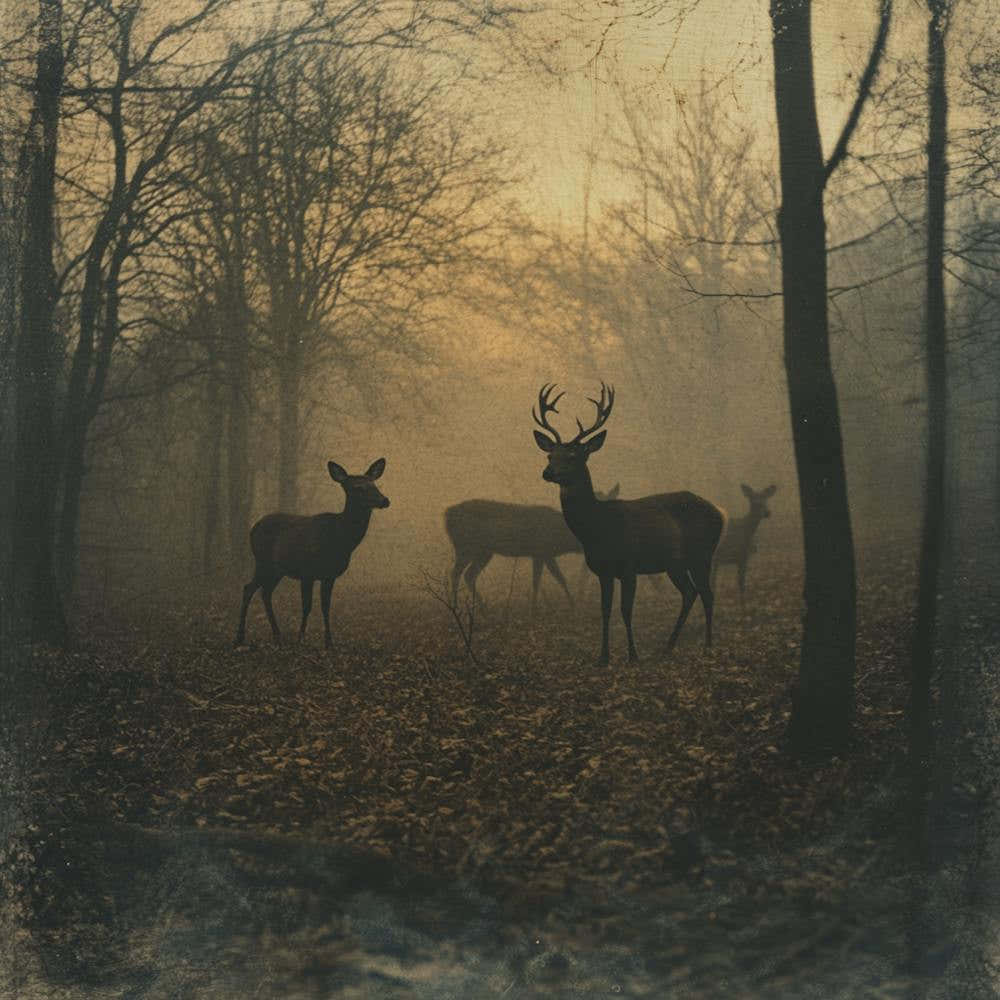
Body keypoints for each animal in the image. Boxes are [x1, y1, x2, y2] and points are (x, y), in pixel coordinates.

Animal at [234, 458, 389, 649]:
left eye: (374, 484)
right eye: (358, 488)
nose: (385, 500)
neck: (341, 540)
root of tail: (253, 528)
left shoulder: (329, 575)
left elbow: (325, 606)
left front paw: (329, 642)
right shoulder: (307, 572)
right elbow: (307, 606)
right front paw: (301, 638)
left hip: (277, 569)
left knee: (265, 592)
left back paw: (277, 634)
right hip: (262, 561)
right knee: (249, 588)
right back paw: (240, 637)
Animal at [444, 485, 621, 614]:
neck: (562, 539)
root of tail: (446, 516)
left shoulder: (543, 554)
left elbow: (548, 579)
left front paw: (560, 605)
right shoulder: (542, 551)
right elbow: (548, 580)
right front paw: (564, 606)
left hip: (484, 552)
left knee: (469, 575)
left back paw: (482, 607)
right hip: (466, 546)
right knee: (456, 573)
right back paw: (455, 606)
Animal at [532, 383, 726, 666]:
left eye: (573, 455)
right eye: (549, 455)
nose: (548, 473)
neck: (598, 528)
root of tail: (720, 513)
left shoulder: (629, 566)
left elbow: (625, 610)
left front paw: (633, 655)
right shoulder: (603, 570)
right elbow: (605, 610)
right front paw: (603, 657)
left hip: (702, 554)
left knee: (707, 593)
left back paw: (708, 647)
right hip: (675, 563)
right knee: (690, 593)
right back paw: (668, 646)